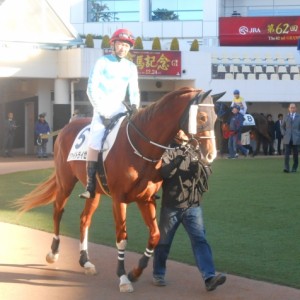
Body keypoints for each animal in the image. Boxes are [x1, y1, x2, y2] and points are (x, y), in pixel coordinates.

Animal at [15, 87, 224, 292]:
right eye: (202, 117)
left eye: (215, 118)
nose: (211, 154)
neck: (140, 147)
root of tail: (67, 127)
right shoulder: (119, 199)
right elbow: (122, 237)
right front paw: (123, 277)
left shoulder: (145, 198)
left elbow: (155, 235)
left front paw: (135, 272)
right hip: (65, 182)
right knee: (58, 211)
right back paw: (53, 252)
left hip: (94, 193)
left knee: (84, 219)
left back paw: (85, 261)